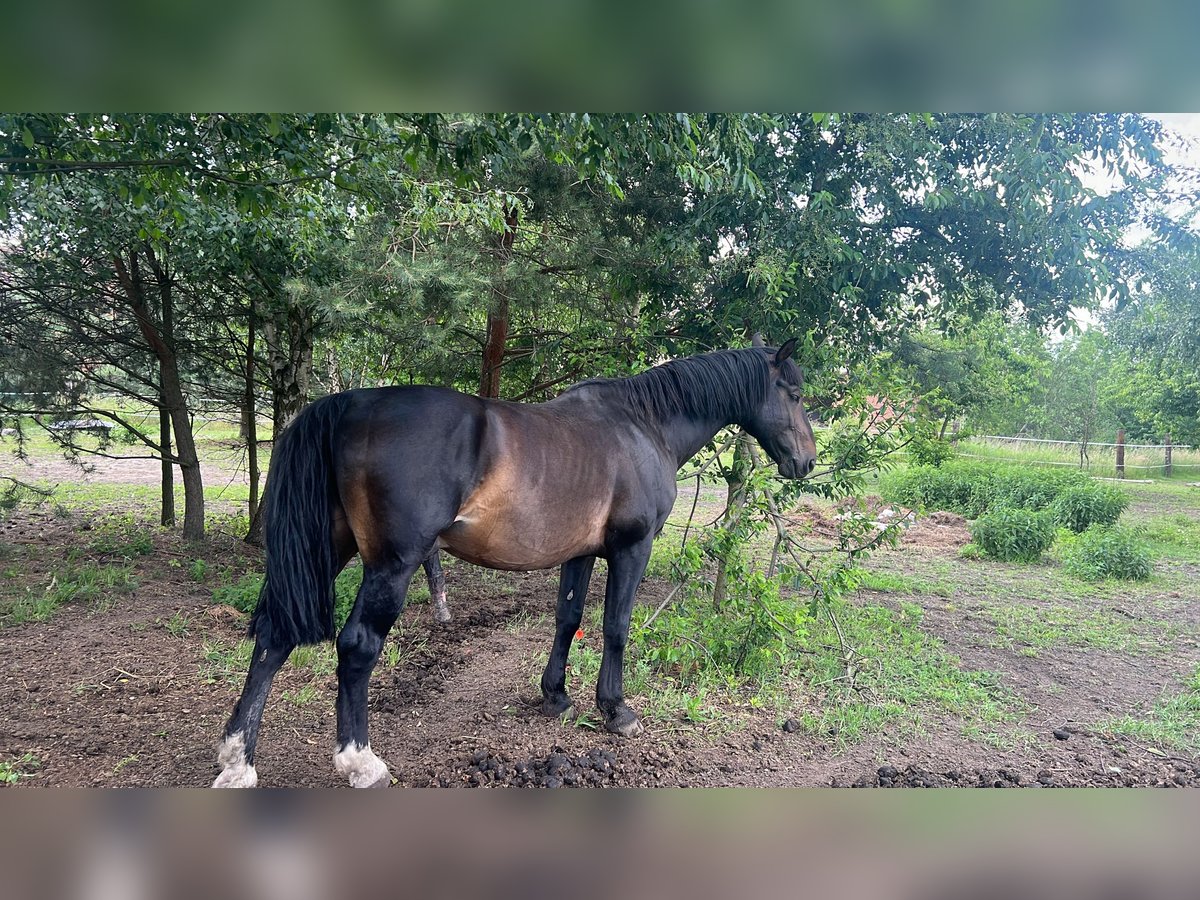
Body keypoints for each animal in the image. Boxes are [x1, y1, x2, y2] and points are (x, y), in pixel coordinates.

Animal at [213, 338, 816, 787]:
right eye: (793, 392)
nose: (806, 461)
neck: (644, 425)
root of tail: (349, 405)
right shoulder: (631, 547)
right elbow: (615, 626)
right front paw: (616, 710)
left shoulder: (580, 553)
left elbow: (568, 619)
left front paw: (556, 697)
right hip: (391, 564)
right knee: (357, 646)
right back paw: (360, 761)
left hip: (329, 550)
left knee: (273, 637)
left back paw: (238, 761)